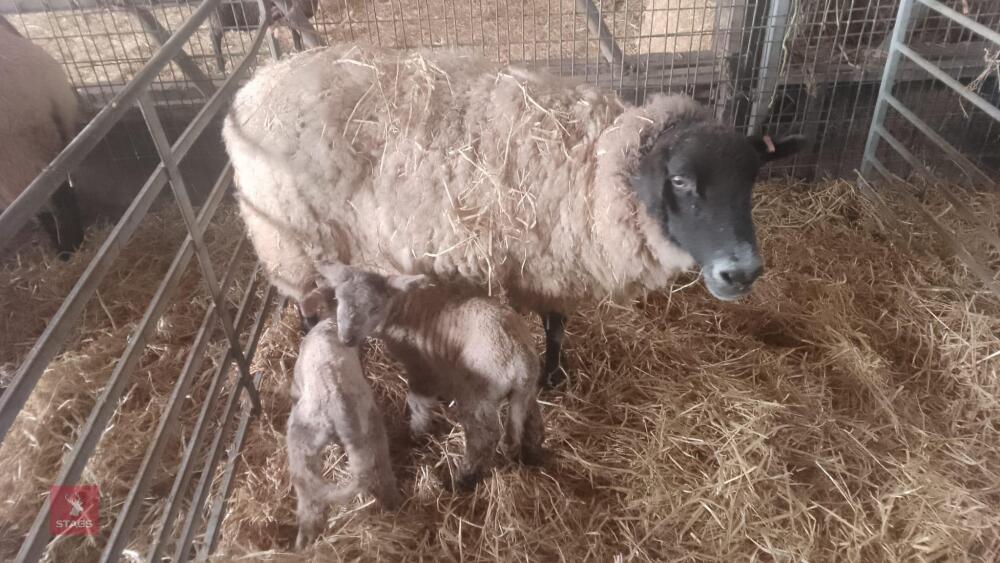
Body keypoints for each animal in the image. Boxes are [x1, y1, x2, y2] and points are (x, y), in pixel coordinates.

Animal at [222, 43, 806, 388]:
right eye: (681, 181)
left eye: (751, 181)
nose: (742, 272)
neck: (593, 169)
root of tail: (250, 90)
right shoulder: (547, 266)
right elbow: (554, 325)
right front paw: (551, 378)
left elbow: (555, 324)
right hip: (289, 242)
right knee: (308, 307)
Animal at [313, 262, 546, 491]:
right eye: (338, 300)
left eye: (375, 308)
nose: (347, 339)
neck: (401, 311)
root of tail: (519, 357)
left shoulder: (419, 366)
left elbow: (418, 401)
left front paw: (417, 433)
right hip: (525, 390)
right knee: (531, 420)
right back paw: (532, 455)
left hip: (478, 391)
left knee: (484, 438)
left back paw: (462, 480)